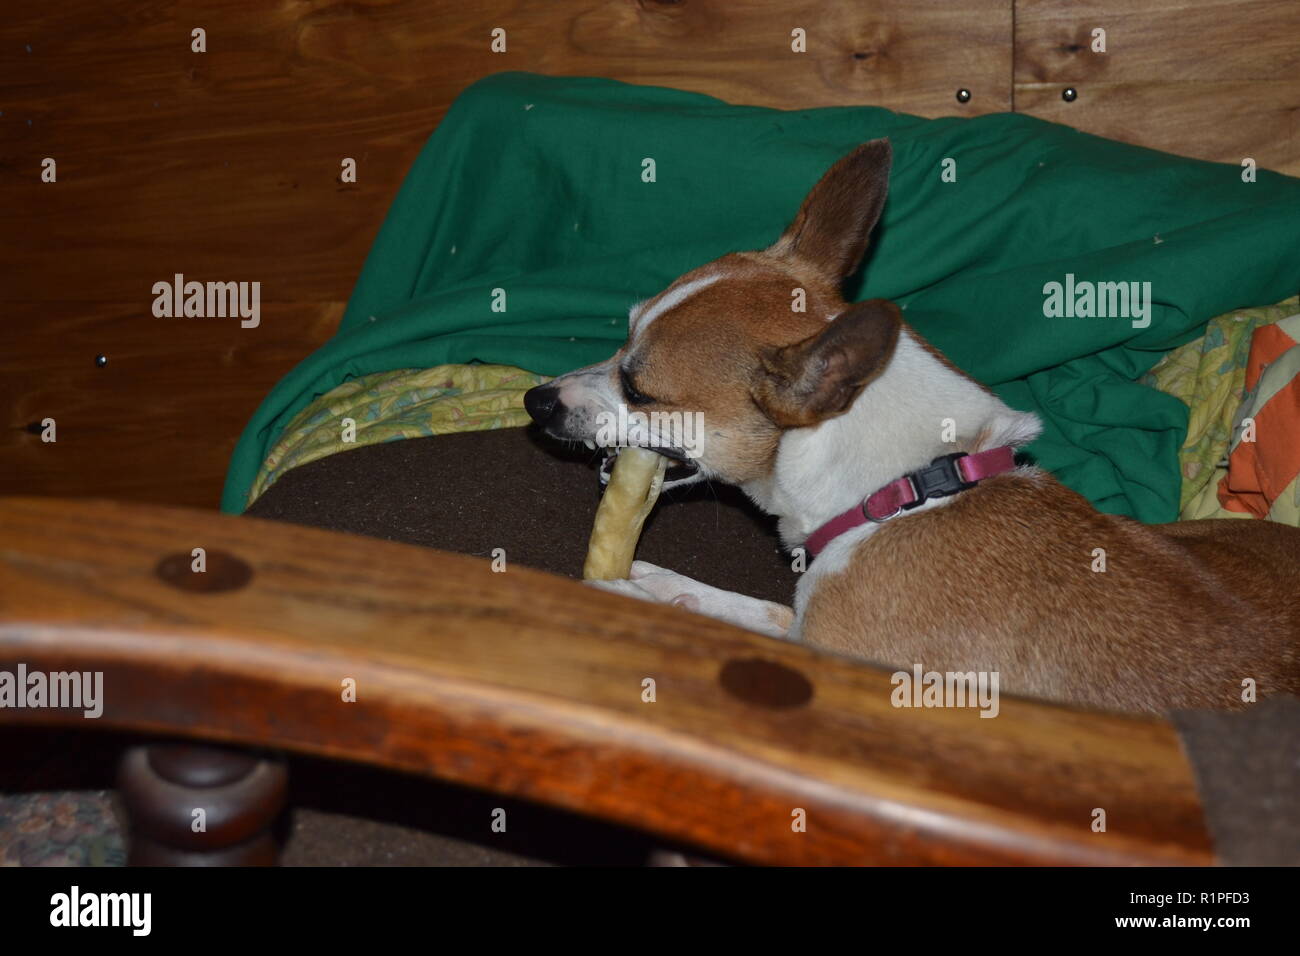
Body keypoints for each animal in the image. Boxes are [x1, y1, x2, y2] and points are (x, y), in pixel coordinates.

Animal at [522, 138, 1294, 712]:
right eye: (621, 339)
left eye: (638, 388)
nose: (537, 400)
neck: (904, 489)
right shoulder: (804, 622)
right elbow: (734, 607)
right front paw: (653, 584)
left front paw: (617, 597)